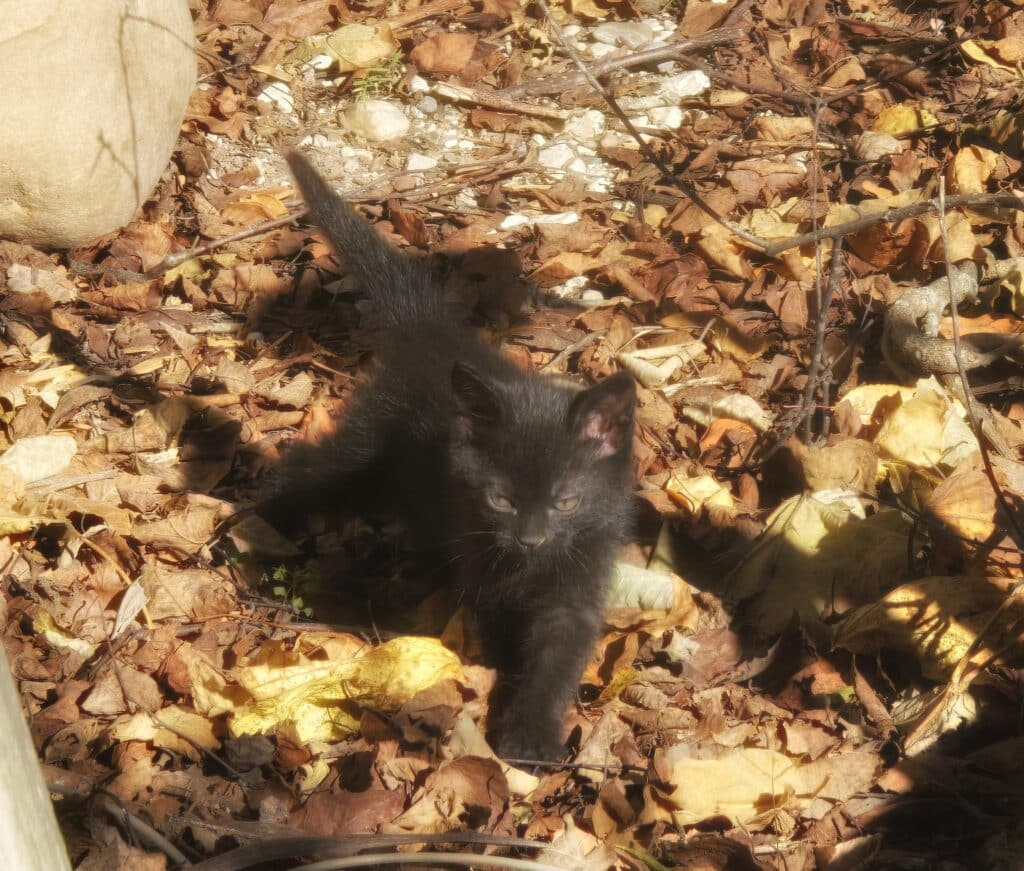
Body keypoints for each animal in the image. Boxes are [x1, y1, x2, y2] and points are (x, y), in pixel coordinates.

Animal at [264, 153, 630, 761]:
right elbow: (501, 631)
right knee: (302, 470)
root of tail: (437, 337)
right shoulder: (480, 558)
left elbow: (559, 654)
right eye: (501, 500)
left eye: (566, 502)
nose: (531, 538)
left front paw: (532, 734)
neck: (529, 567)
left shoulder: (582, 574)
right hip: (367, 456)